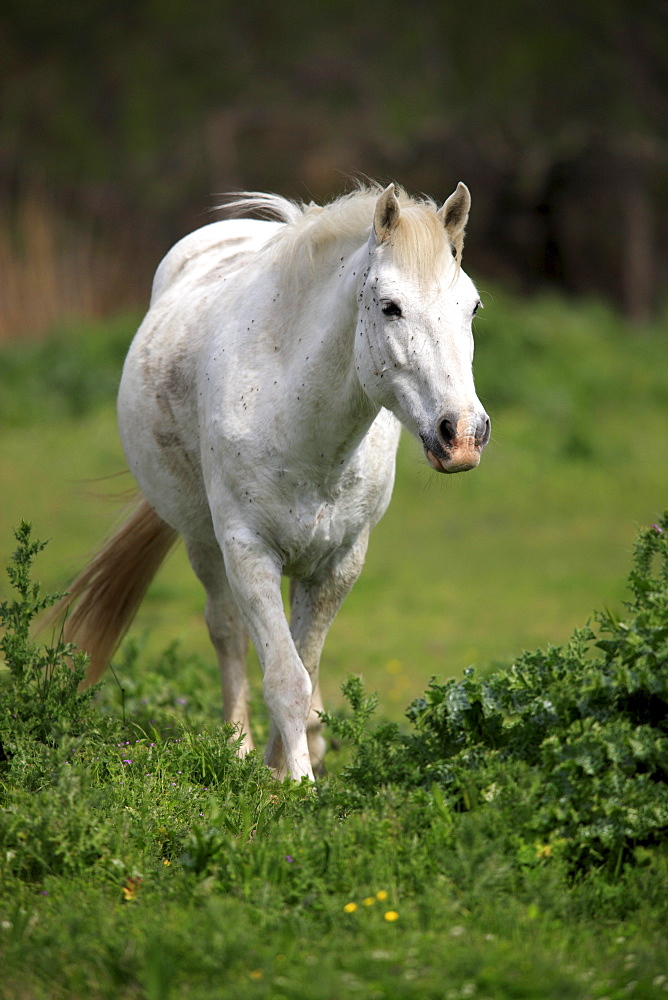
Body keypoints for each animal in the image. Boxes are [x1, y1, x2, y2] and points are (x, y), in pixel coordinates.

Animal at [57, 182, 488, 780]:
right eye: (390, 307)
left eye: (472, 306)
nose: (462, 435)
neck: (296, 416)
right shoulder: (248, 551)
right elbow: (285, 678)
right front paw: (296, 785)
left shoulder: (339, 561)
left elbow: (304, 668)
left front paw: (284, 768)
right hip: (203, 542)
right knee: (227, 631)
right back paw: (237, 749)